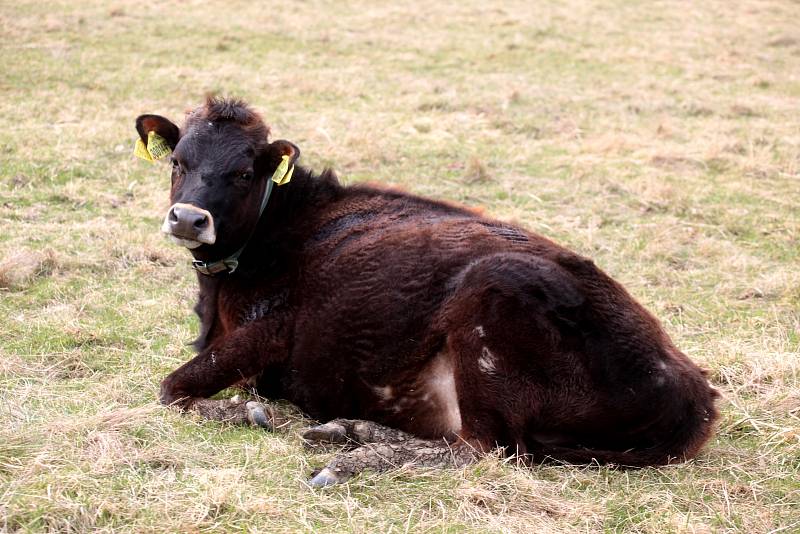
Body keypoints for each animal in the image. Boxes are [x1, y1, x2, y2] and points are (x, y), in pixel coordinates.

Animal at [136, 97, 720, 490]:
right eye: (177, 161)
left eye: (241, 172)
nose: (188, 218)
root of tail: (696, 392)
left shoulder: (273, 332)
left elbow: (172, 388)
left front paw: (251, 414)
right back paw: (350, 430)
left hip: (492, 300)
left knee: (481, 451)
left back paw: (352, 453)